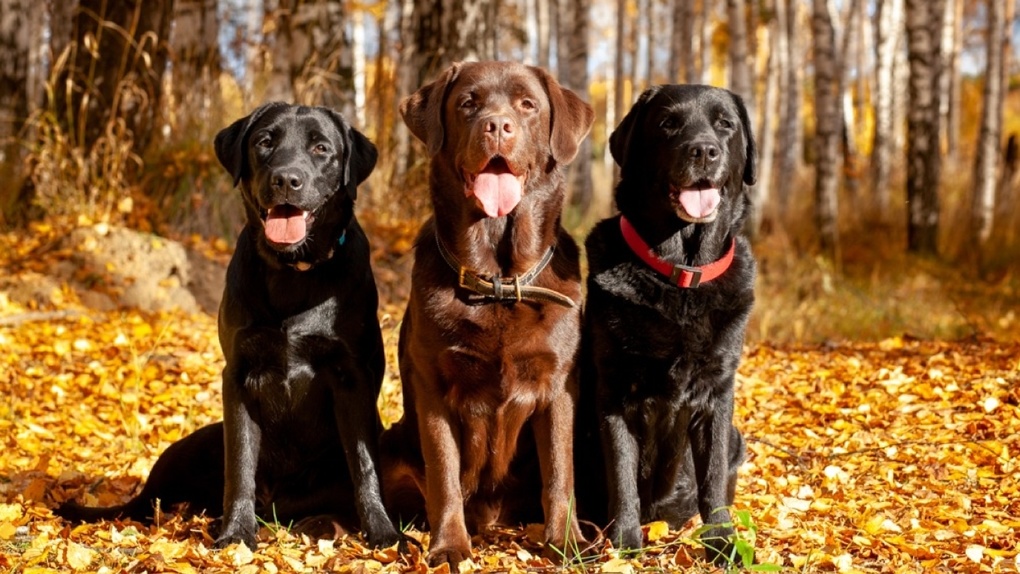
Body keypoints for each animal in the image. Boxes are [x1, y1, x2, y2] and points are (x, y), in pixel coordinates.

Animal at [54, 103, 397, 550]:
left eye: (321, 148)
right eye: (265, 141)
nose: (286, 179)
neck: (293, 274)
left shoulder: (351, 378)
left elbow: (364, 466)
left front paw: (384, 532)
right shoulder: (237, 376)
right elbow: (239, 465)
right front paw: (235, 534)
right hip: (190, 446)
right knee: (144, 503)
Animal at [381, 61, 591, 566]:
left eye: (527, 104)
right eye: (467, 103)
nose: (496, 126)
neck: (498, 283)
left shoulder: (559, 386)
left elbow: (561, 471)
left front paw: (566, 542)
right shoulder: (431, 384)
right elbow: (443, 475)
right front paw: (449, 547)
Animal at [579, 85, 754, 566]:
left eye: (725, 124)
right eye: (667, 124)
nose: (704, 150)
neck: (680, 274)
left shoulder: (717, 393)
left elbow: (712, 479)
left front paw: (722, 541)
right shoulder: (615, 391)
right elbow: (621, 474)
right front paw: (623, 543)